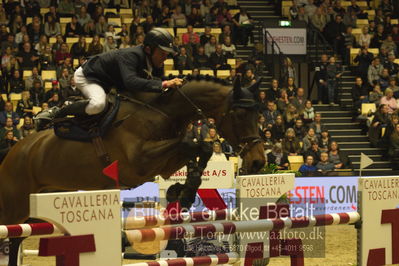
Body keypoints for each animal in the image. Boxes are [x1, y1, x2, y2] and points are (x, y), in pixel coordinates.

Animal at [0, 76, 268, 264]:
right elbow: (191, 143)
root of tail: (14, 151)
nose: (257, 162)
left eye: (258, 112)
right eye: (239, 114)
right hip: (15, 207)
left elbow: (200, 148)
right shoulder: (141, 161)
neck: (163, 112)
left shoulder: (165, 162)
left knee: (16, 239)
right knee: (10, 233)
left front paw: (184, 192)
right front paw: (183, 191)